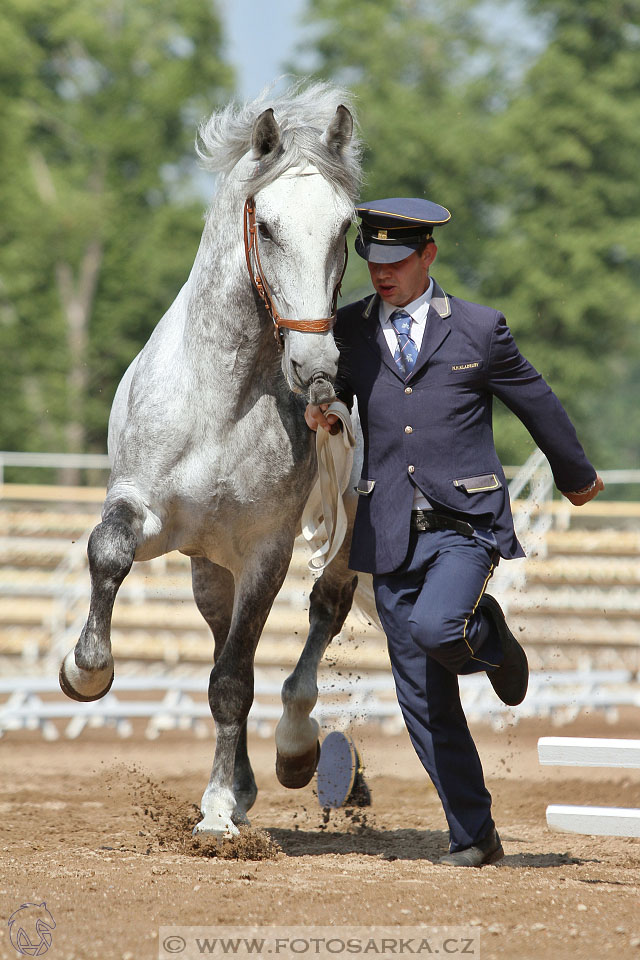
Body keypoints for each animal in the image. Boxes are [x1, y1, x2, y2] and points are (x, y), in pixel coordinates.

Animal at [61, 82, 370, 832]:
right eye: (269, 227)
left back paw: (293, 748)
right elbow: (108, 551)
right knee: (218, 627)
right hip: (206, 560)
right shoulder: (148, 511)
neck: (222, 399)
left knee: (320, 614)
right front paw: (86, 672)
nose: (317, 368)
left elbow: (233, 679)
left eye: (345, 227)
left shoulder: (267, 548)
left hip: (342, 534)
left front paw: (220, 815)